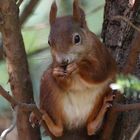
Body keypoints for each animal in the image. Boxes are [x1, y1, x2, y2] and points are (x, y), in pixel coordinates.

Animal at [31, 0, 116, 139]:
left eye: (77, 39)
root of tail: (75, 126)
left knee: (90, 128)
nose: (63, 61)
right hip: (48, 89)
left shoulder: (102, 56)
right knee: (58, 130)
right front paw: (57, 73)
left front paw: (77, 66)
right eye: (49, 42)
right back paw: (44, 117)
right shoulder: (55, 64)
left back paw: (100, 114)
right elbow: (66, 83)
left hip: (105, 89)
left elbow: (99, 73)